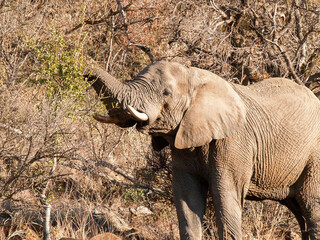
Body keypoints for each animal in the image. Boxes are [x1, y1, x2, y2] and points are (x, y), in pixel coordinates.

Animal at [85, 59, 320, 240]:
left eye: (166, 92)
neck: (195, 78)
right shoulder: (182, 140)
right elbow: (187, 196)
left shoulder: (234, 142)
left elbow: (225, 195)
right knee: (300, 211)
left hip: (315, 158)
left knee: (311, 206)